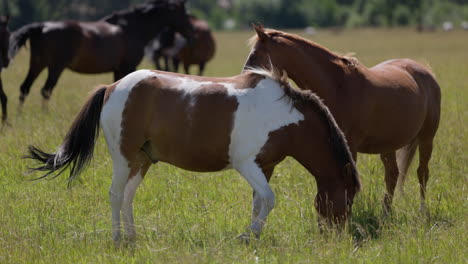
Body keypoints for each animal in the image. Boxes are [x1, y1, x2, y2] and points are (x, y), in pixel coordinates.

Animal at [7, 0, 194, 108]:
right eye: (185, 12)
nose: (192, 32)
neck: (132, 28)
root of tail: (41, 27)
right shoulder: (128, 66)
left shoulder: (118, 69)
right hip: (55, 66)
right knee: (45, 90)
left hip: (37, 63)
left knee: (25, 88)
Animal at [243, 25, 440, 213]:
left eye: (254, 55)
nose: (245, 79)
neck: (338, 85)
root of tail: (426, 71)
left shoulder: (349, 145)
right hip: (388, 145)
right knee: (392, 175)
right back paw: (386, 212)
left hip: (427, 138)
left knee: (422, 173)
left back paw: (422, 211)